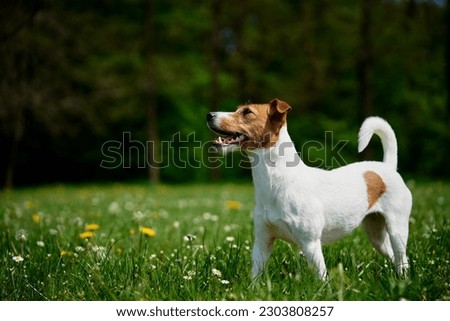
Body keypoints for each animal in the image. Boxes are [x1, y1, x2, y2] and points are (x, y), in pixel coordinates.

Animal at [207, 99, 412, 278]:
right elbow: (255, 275)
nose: (209, 115)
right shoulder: (262, 242)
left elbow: (321, 277)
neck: (276, 182)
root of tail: (388, 167)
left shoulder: (310, 243)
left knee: (401, 255)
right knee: (395, 257)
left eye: (247, 112)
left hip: (397, 228)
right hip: (376, 234)